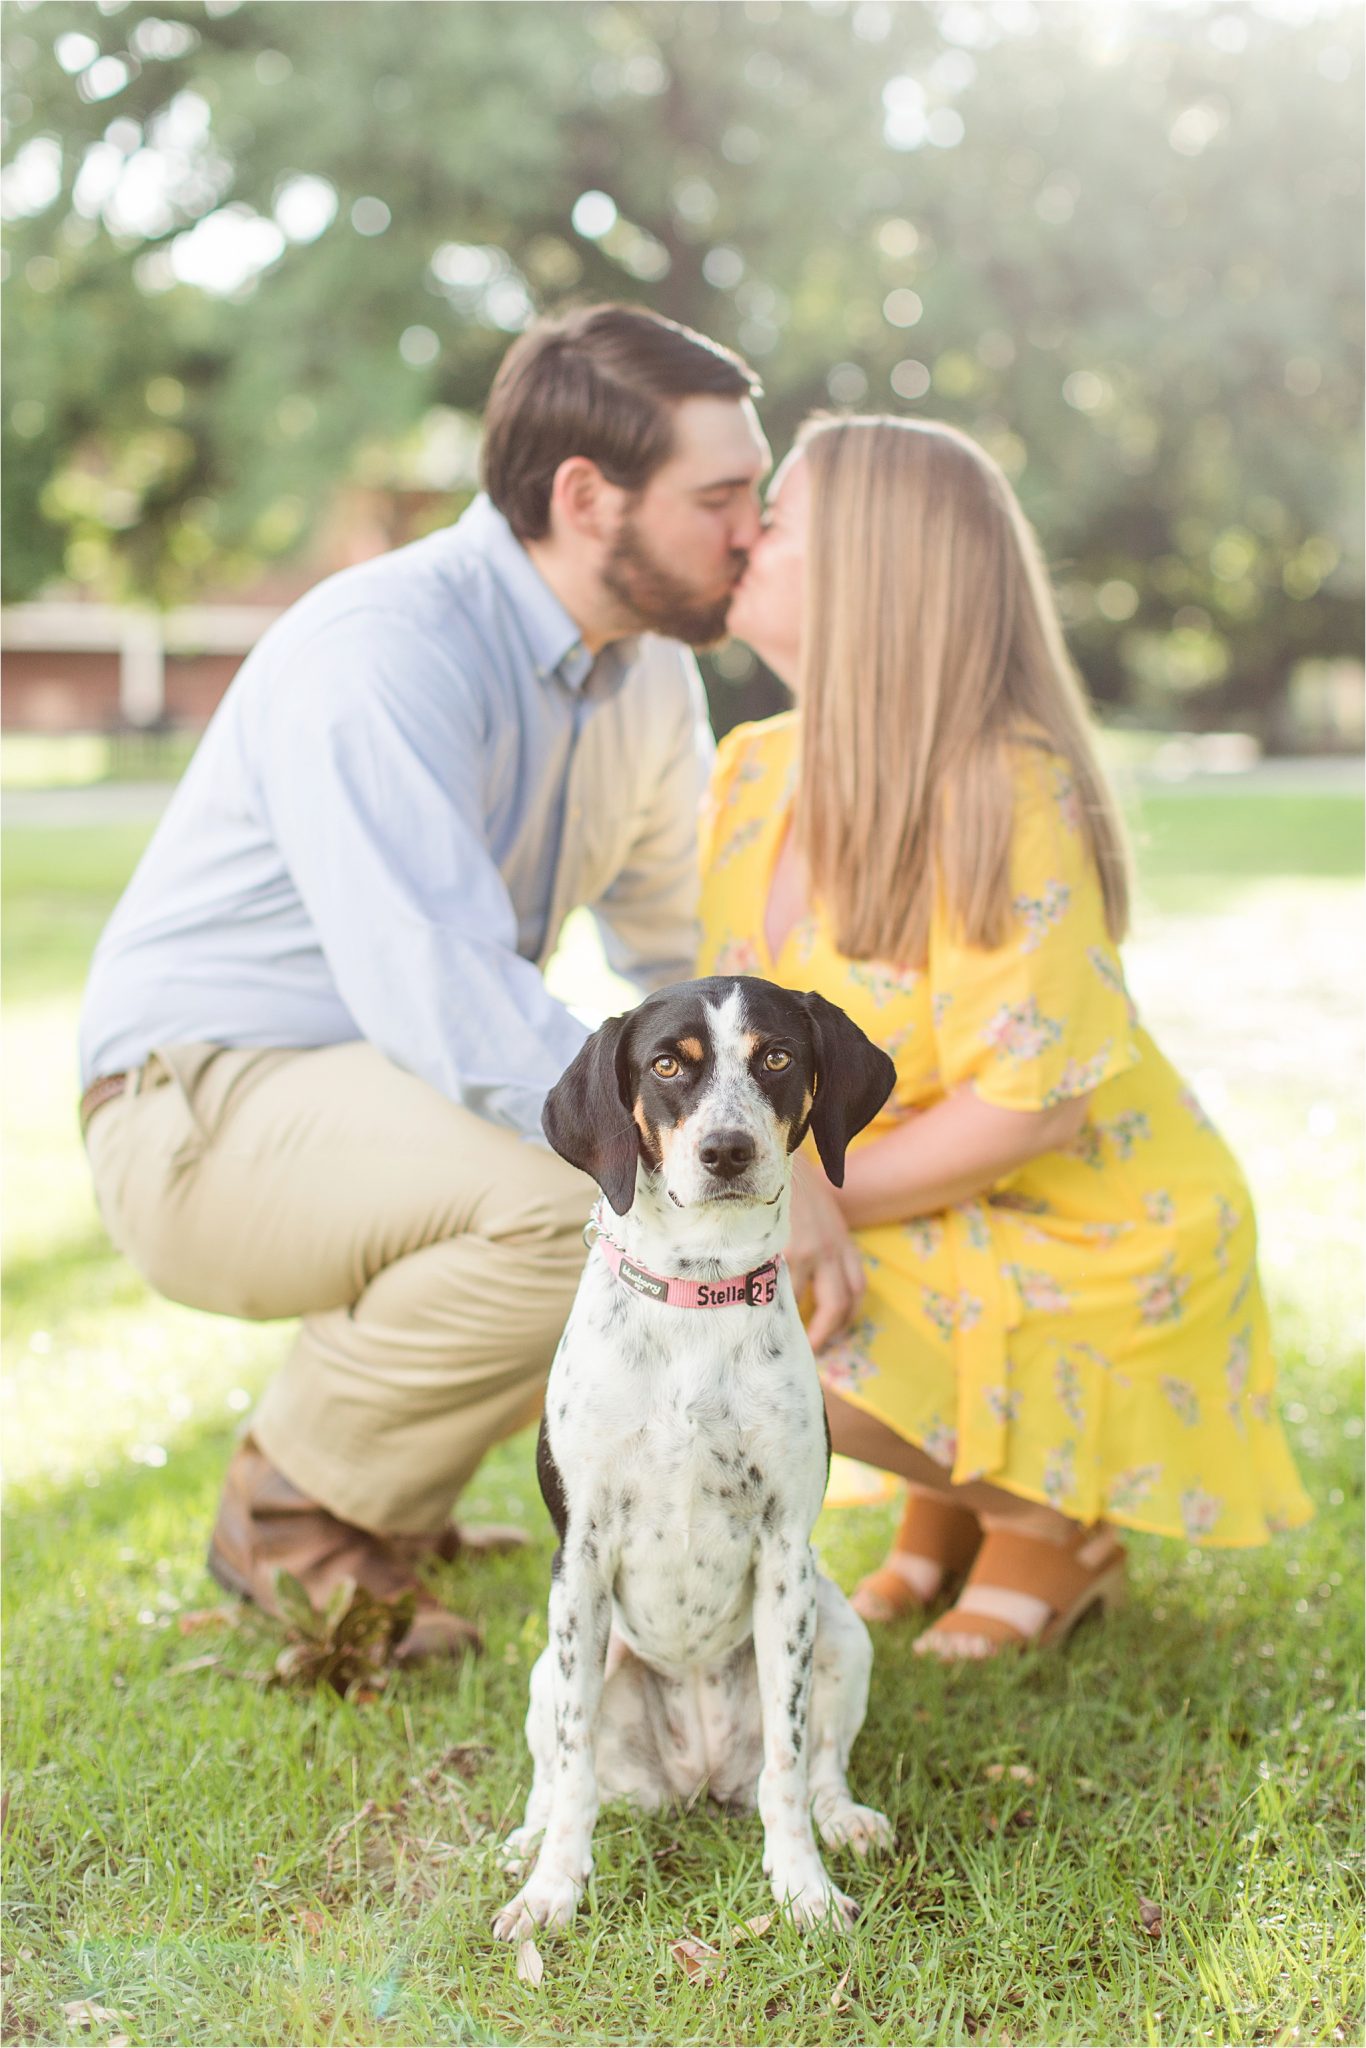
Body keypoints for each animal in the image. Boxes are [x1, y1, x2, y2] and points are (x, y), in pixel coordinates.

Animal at [497, 970, 901, 1933]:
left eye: (778, 1057)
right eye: (668, 1065)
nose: (726, 1150)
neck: (696, 1295)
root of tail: (698, 1774)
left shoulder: (786, 1556)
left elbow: (788, 1761)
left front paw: (802, 1887)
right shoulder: (582, 1556)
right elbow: (572, 1766)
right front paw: (554, 1891)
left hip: (840, 1627)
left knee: (817, 1763)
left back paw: (844, 1820)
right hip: (554, 1664)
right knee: (557, 1773)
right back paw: (528, 1843)